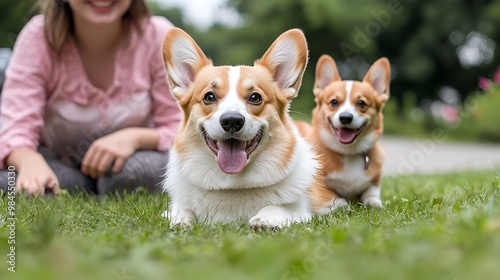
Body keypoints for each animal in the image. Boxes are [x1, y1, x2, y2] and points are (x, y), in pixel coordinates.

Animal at [162, 28, 320, 229]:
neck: (232, 183)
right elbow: (183, 210)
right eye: (209, 97)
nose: (231, 121)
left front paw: (264, 219)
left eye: (255, 97)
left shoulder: (300, 208)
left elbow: (279, 207)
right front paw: (181, 220)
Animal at [296, 54, 390, 214]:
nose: (345, 117)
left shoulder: (374, 181)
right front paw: (343, 204)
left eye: (361, 103)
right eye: (334, 102)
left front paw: (374, 203)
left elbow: (372, 194)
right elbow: (331, 194)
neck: (348, 152)